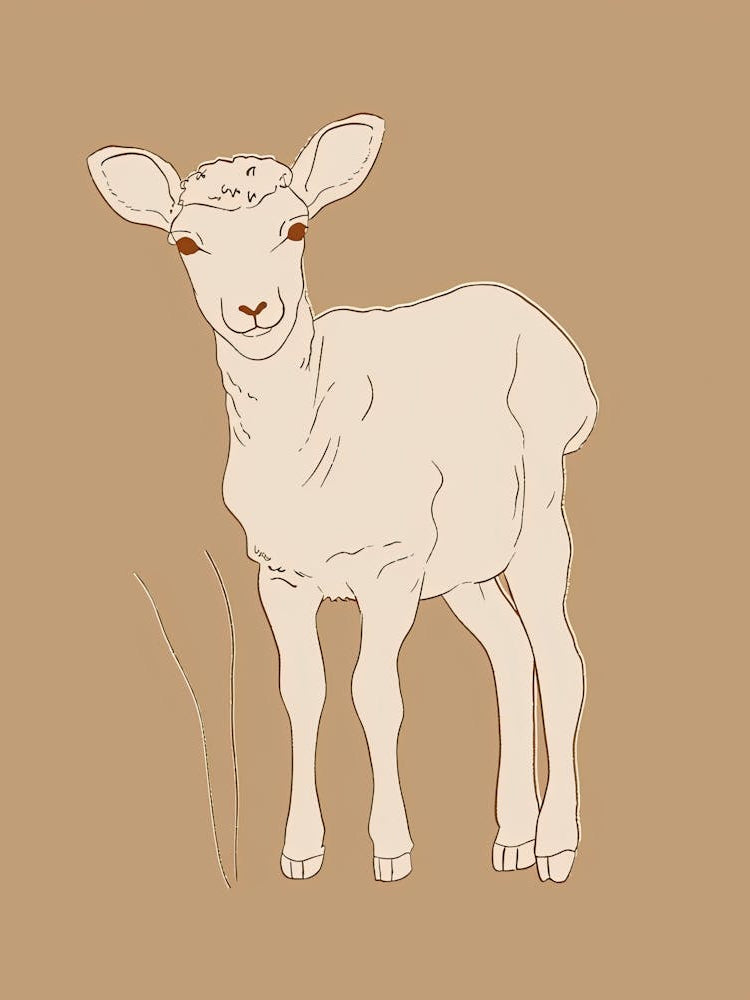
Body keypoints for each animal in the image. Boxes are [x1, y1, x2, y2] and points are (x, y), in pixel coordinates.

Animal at [88, 114, 598, 884]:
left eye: (296, 227)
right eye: (186, 241)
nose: (253, 308)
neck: (306, 457)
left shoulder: (390, 565)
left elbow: (374, 695)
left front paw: (391, 851)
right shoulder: (279, 574)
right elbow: (302, 693)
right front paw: (300, 853)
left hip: (540, 513)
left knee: (561, 658)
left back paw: (553, 847)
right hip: (463, 565)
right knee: (510, 653)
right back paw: (509, 841)